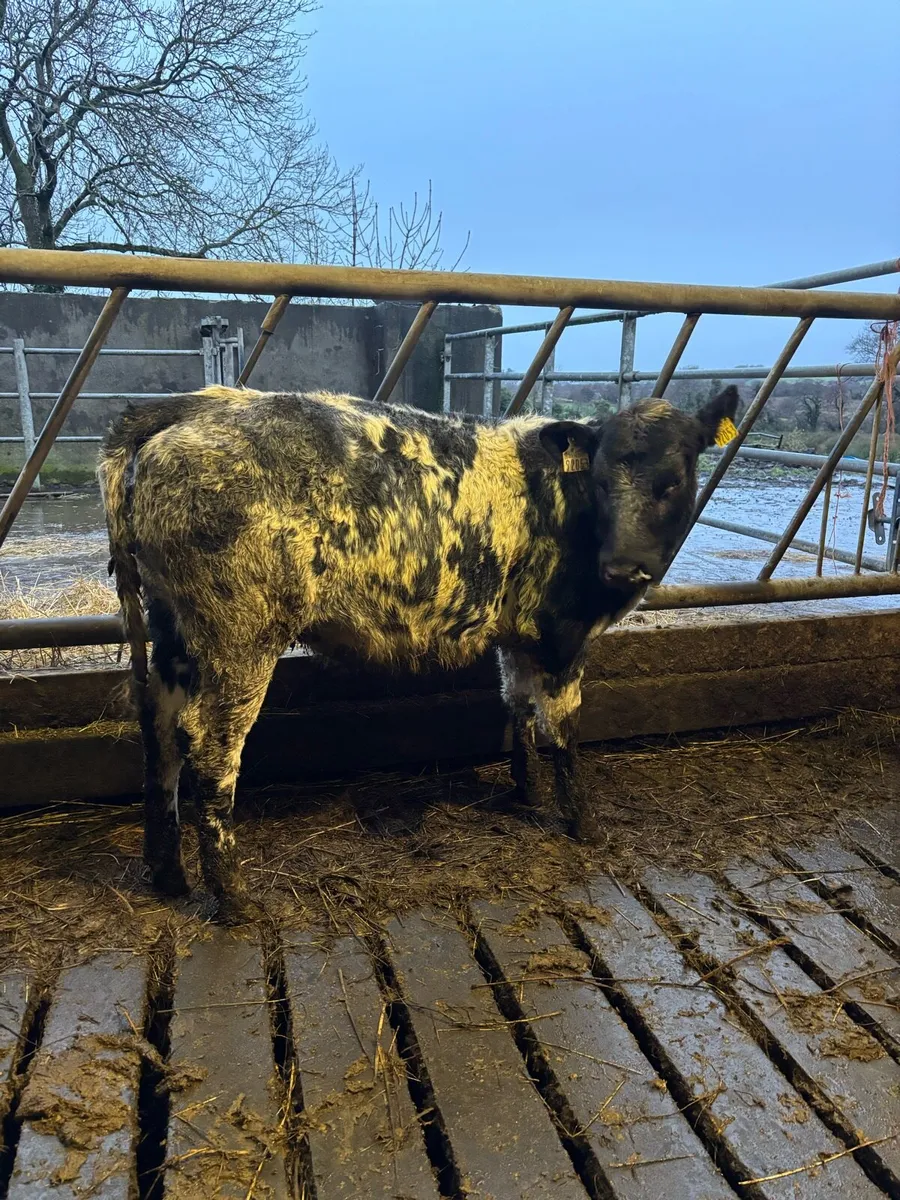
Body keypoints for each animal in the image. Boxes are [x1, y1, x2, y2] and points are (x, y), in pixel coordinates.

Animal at [99, 383, 739, 923]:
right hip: (240, 635)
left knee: (159, 730)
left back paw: (169, 875)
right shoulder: (562, 634)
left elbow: (518, 705)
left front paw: (525, 791)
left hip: (170, 628)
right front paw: (583, 823)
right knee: (209, 748)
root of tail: (191, 406)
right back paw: (233, 898)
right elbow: (562, 729)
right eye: (603, 481)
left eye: (674, 479)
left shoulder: (518, 633)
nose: (624, 567)